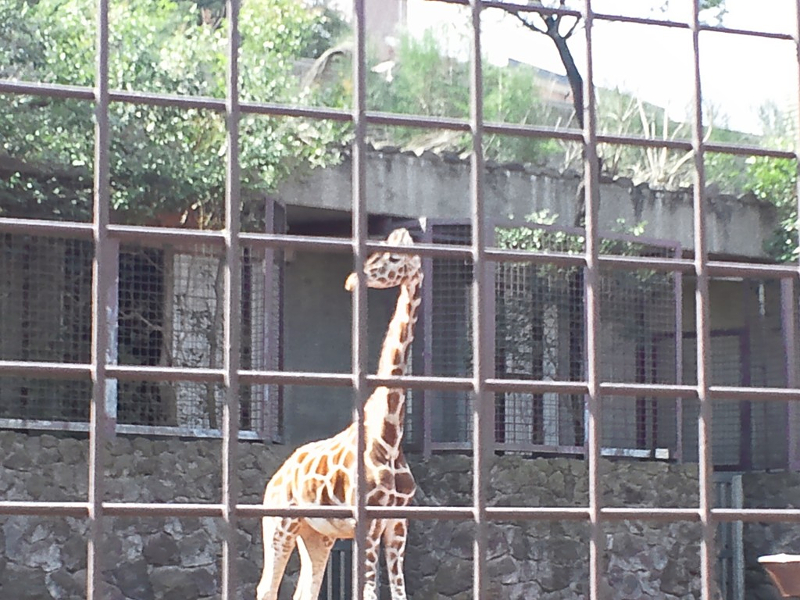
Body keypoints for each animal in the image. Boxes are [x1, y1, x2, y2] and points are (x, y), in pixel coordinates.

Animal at [256, 227, 422, 600]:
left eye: (393, 257)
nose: (352, 280)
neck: (390, 436)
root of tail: (274, 480)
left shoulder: (398, 523)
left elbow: (399, 593)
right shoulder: (368, 523)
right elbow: (369, 592)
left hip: (317, 536)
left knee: (305, 591)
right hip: (278, 526)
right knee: (266, 588)